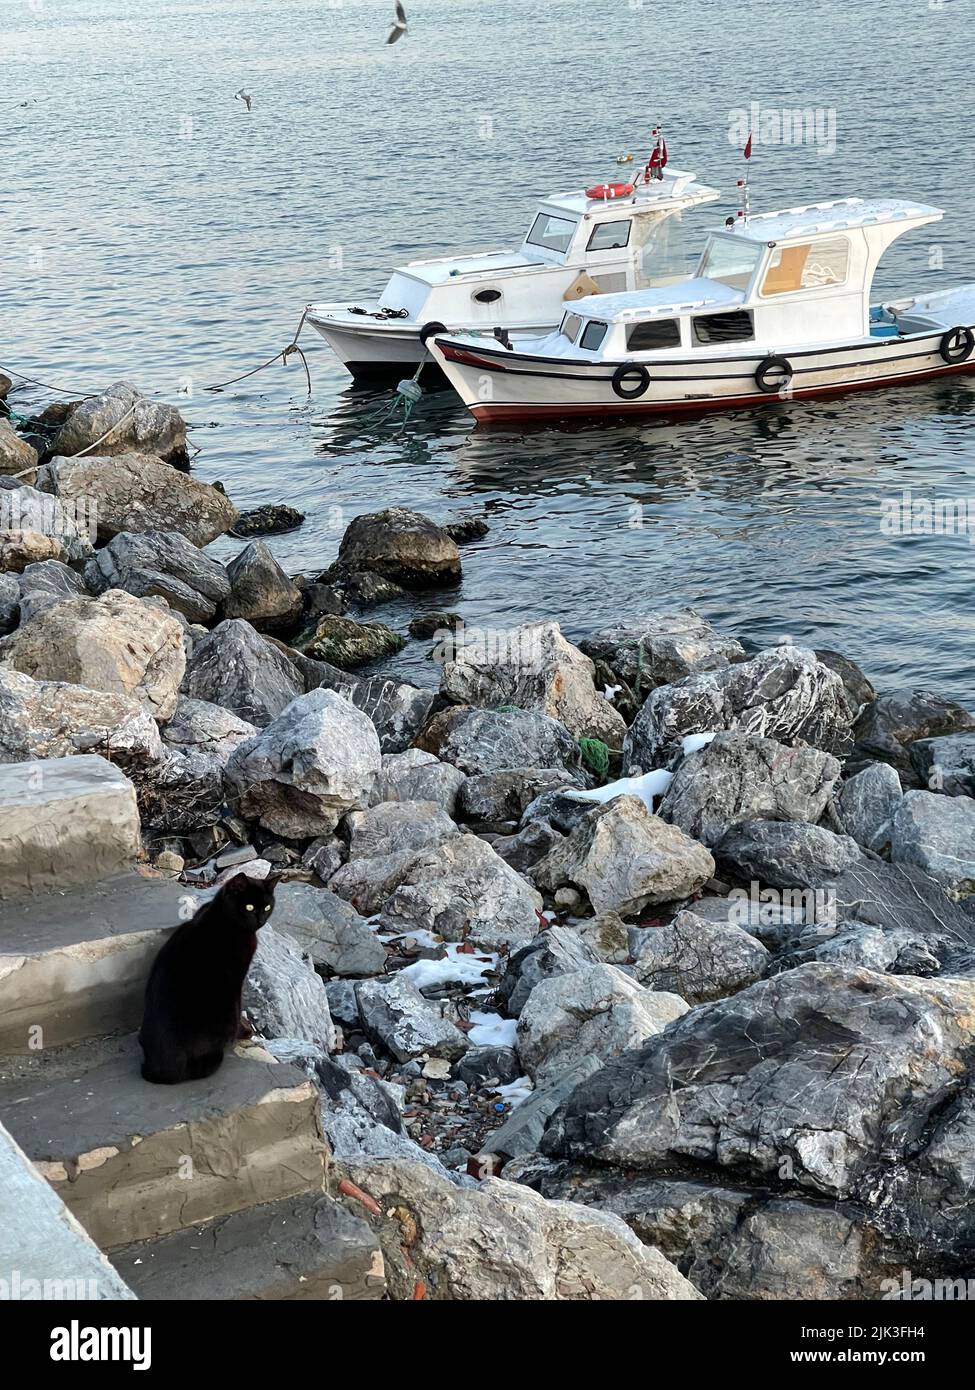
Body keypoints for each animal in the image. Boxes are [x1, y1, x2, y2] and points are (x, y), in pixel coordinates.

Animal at [137, 867, 275, 1084]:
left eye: (268, 907)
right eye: (250, 907)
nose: (261, 920)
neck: (221, 917)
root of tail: (163, 1068)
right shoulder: (237, 981)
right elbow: (240, 1008)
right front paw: (245, 1031)